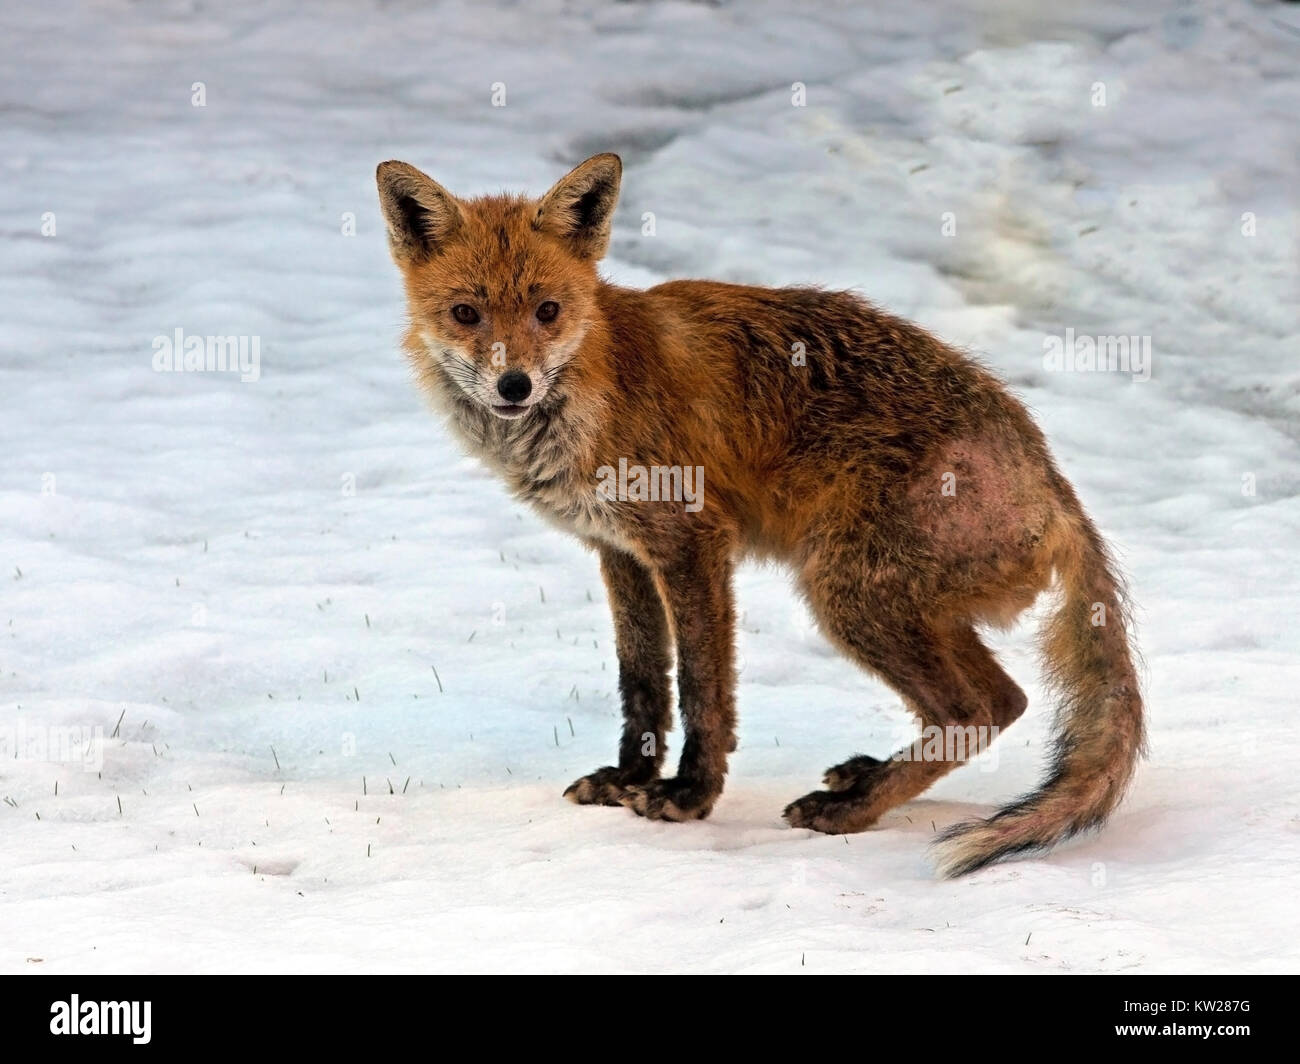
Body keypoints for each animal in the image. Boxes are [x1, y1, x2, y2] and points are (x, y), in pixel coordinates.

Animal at [376, 152, 1144, 876]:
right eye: (466, 314)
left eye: (547, 311)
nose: (515, 385)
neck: (597, 390)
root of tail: (1053, 484)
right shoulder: (621, 551)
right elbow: (642, 680)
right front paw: (628, 777)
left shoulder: (692, 540)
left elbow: (703, 688)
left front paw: (688, 795)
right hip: (902, 607)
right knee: (1003, 701)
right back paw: (869, 780)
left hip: (845, 594)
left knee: (974, 710)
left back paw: (851, 809)